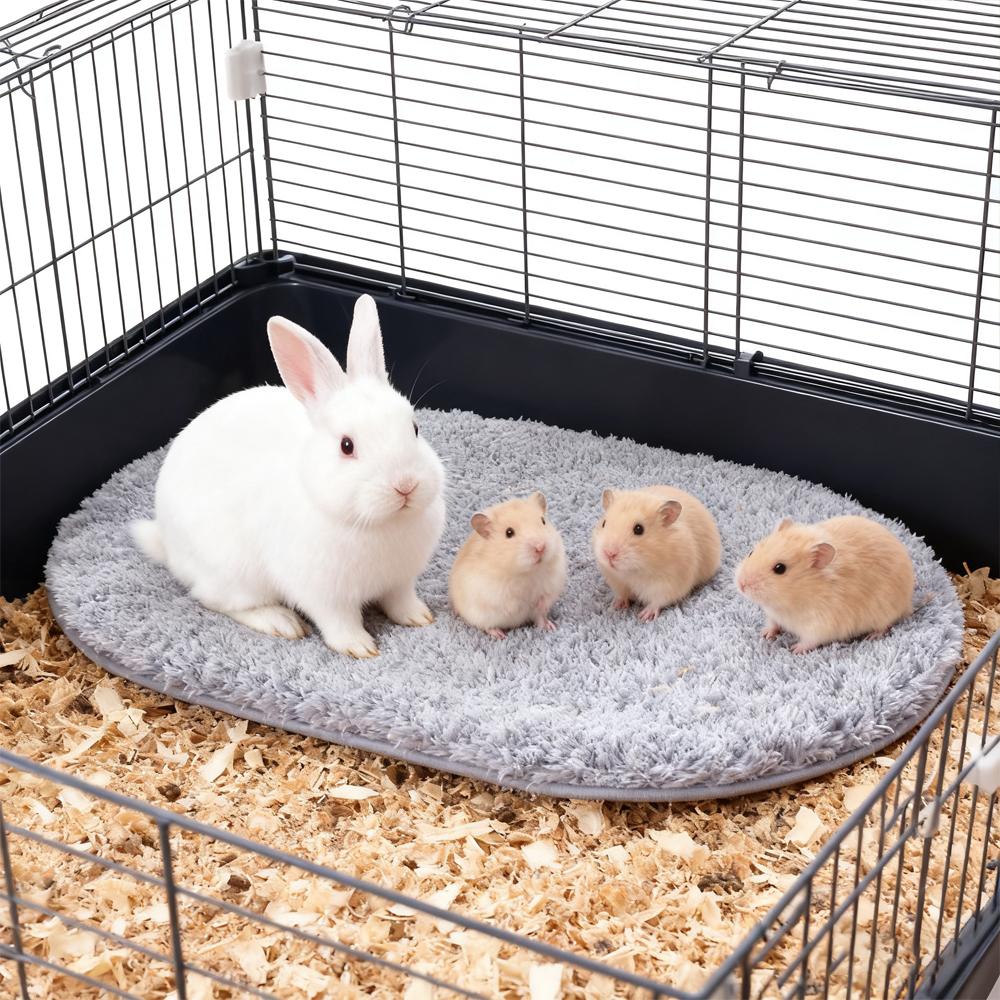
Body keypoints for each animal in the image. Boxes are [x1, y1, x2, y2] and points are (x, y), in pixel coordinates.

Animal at [131, 294, 446, 658]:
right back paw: (281, 622)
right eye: (347, 446)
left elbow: (400, 601)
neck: (379, 524)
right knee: (214, 600)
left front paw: (419, 617)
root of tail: (166, 543)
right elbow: (339, 622)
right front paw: (359, 647)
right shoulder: (323, 595)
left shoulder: (400, 582)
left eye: (414, 428)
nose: (405, 485)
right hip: (236, 576)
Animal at [449, 493, 567, 639]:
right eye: (509, 533)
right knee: (487, 626)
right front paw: (517, 607)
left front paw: (536, 604)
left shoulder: (551, 584)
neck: (526, 572)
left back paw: (549, 626)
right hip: (478, 615)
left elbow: (542, 600)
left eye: (543, 521)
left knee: (539, 618)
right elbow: (510, 601)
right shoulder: (491, 592)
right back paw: (500, 635)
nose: (540, 547)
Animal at [592, 486, 721, 621]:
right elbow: (621, 594)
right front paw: (616, 606)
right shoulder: (616, 580)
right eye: (604, 523)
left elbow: (657, 601)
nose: (609, 553)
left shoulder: (668, 584)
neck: (635, 570)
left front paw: (644, 616)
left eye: (639, 529)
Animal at [735, 515, 915, 653]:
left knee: (886, 626)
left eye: (780, 568)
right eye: (751, 552)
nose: (741, 585)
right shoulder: (774, 614)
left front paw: (794, 650)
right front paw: (765, 634)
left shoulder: (821, 625)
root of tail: (909, 602)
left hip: (886, 613)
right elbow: (772, 624)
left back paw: (873, 636)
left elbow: (809, 641)